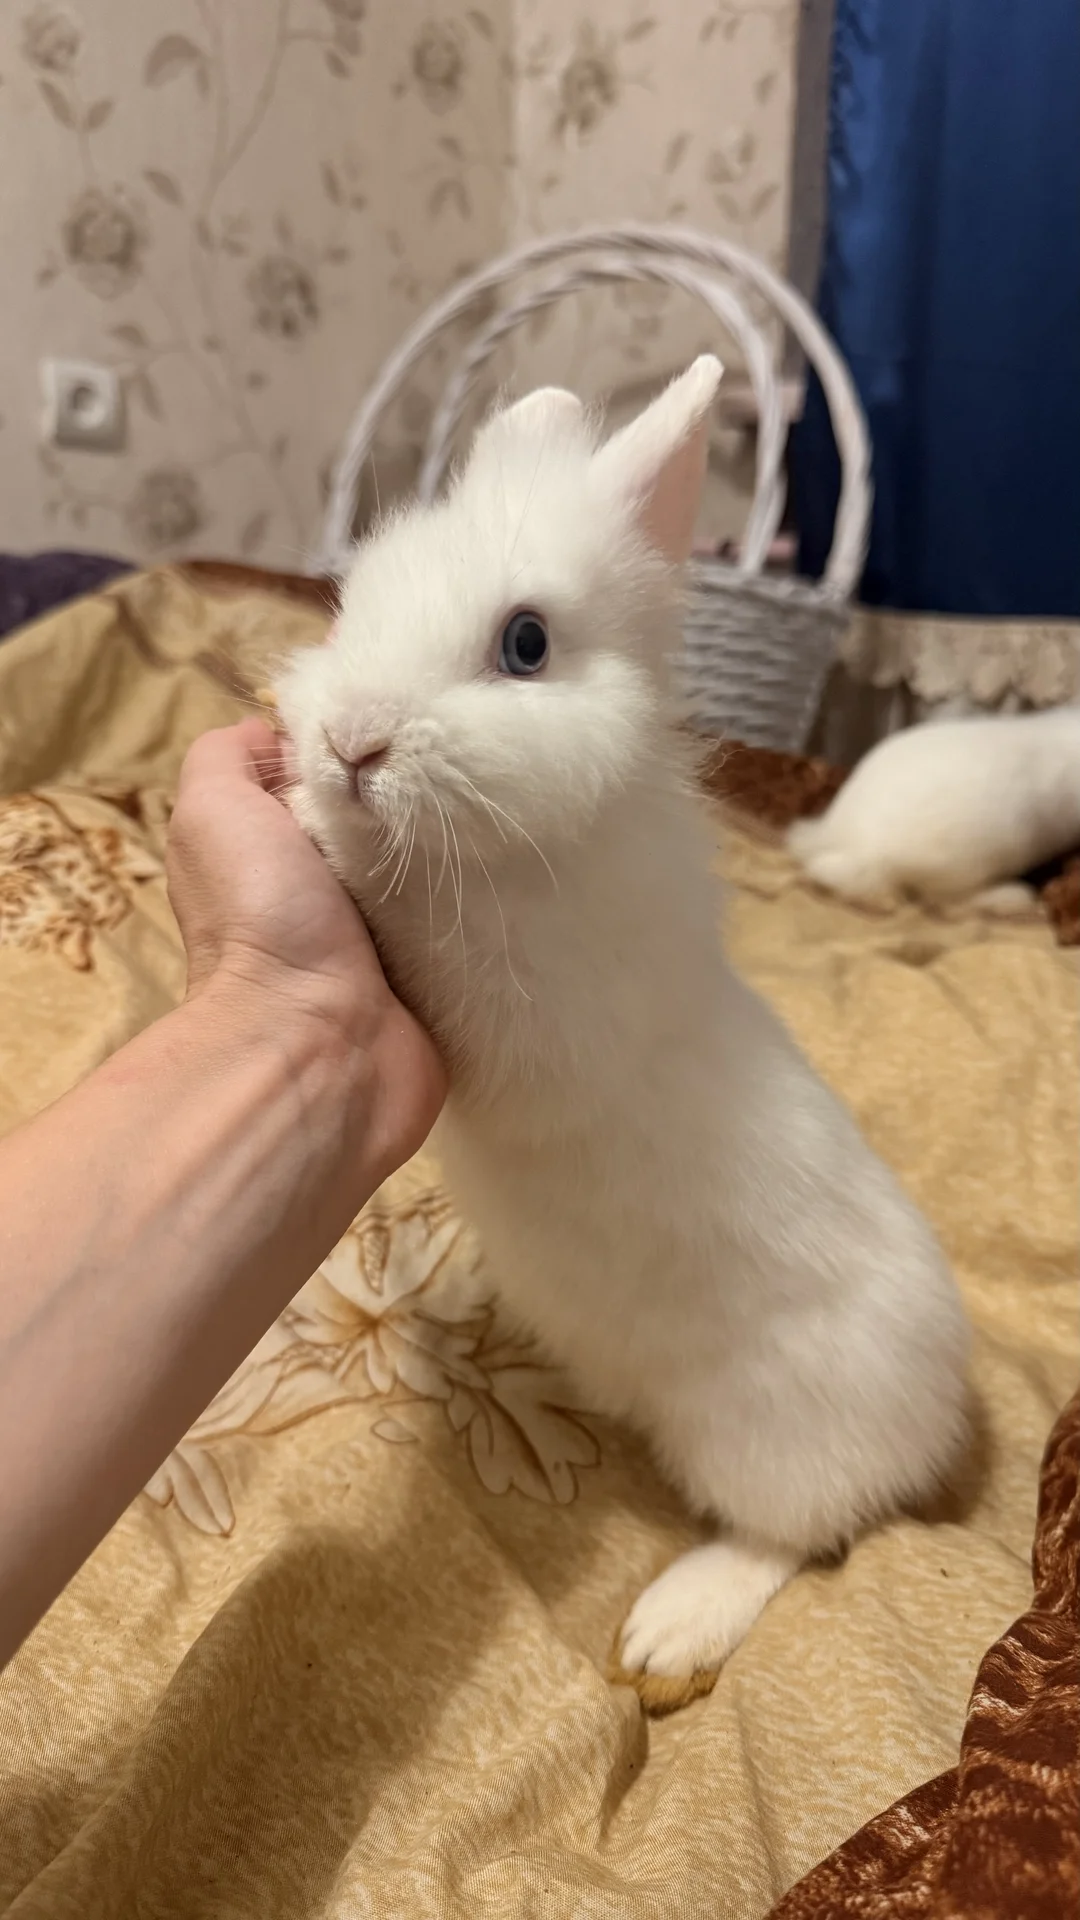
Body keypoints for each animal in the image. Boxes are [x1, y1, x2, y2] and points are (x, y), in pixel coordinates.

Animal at [275, 358, 970, 1695]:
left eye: (526, 644)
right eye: (355, 601)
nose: (350, 742)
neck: (522, 854)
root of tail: (947, 1421)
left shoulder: (523, 1025)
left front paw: (334, 836)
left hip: (767, 1442)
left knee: (796, 1538)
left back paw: (668, 1631)